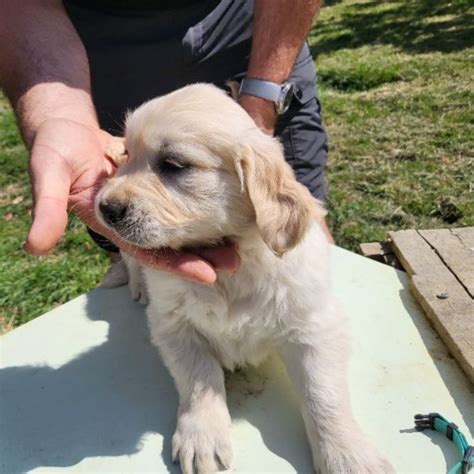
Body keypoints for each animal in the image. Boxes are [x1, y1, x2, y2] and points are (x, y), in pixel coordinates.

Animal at [93, 83, 392, 472]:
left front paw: (347, 453)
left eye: (174, 165)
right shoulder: (173, 325)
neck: (229, 268)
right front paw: (201, 437)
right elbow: (199, 377)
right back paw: (137, 284)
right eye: (127, 154)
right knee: (131, 260)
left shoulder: (314, 326)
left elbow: (322, 392)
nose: (105, 207)